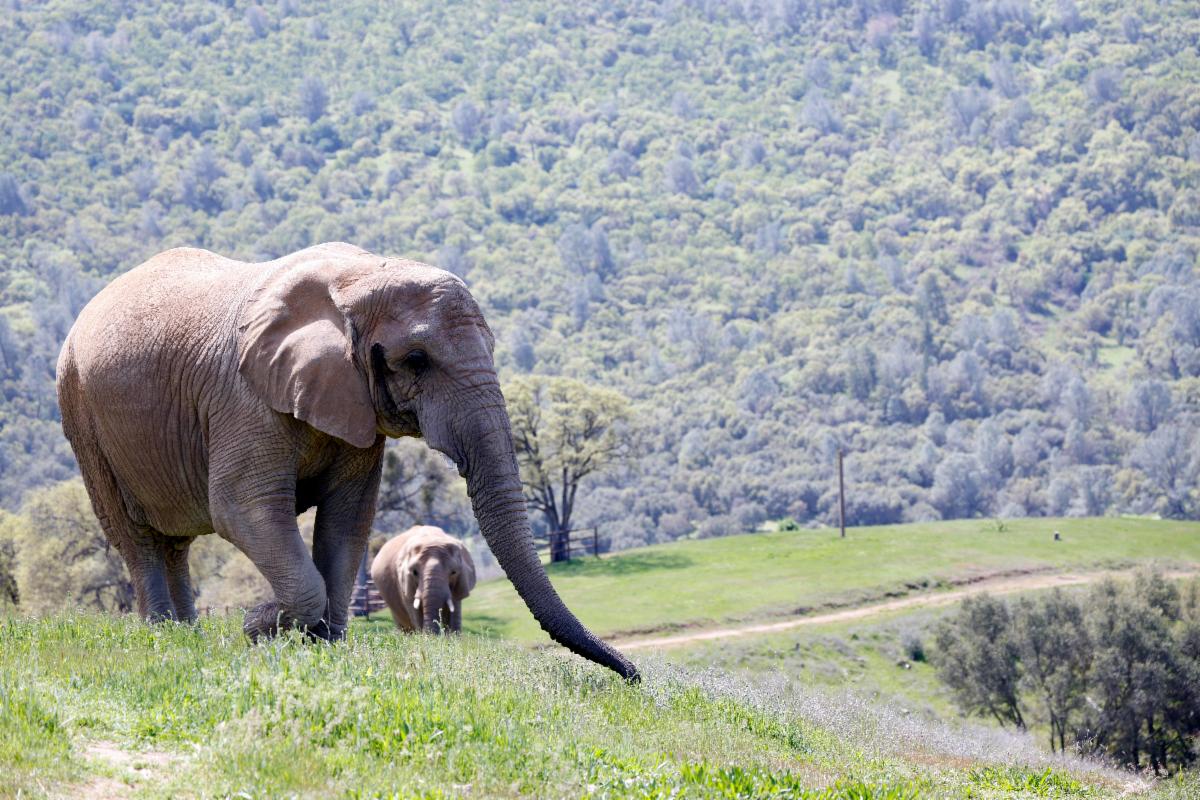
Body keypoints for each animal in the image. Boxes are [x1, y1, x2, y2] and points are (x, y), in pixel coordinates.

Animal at [56, 242, 638, 680]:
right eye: (416, 360)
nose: (633, 677)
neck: (355, 282)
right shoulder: (244, 398)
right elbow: (244, 509)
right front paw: (261, 627)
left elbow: (348, 520)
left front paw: (320, 646)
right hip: (80, 413)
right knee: (137, 537)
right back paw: (164, 638)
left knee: (174, 543)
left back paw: (188, 637)